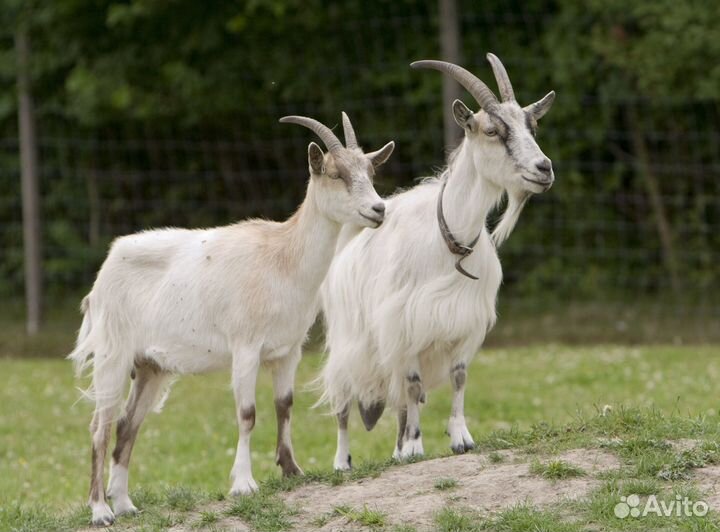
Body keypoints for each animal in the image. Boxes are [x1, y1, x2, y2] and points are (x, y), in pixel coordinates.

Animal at [69, 113, 394, 526]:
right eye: (336, 174)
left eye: (370, 170)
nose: (379, 210)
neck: (283, 259)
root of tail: (106, 269)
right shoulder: (246, 348)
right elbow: (247, 413)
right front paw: (244, 484)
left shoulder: (288, 351)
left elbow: (284, 405)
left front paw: (292, 470)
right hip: (113, 356)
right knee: (100, 427)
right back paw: (100, 510)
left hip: (150, 367)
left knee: (128, 425)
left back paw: (126, 504)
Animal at [320, 54, 555, 469]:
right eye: (492, 130)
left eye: (533, 125)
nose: (544, 169)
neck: (450, 241)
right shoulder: (404, 323)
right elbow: (413, 384)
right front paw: (416, 446)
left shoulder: (464, 319)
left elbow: (458, 378)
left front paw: (460, 438)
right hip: (349, 341)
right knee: (345, 403)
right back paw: (344, 461)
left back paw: (397, 450)